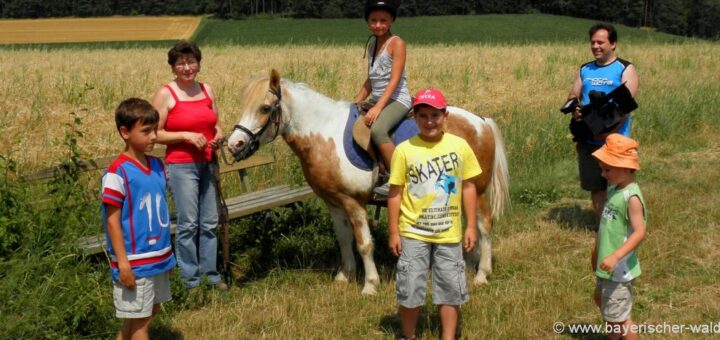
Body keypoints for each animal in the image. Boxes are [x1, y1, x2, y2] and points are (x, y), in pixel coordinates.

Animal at [228, 69, 510, 294]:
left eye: (265, 108)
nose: (234, 144)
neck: (323, 135)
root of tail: (481, 121)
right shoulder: (333, 202)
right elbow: (344, 239)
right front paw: (345, 276)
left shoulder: (353, 202)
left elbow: (364, 244)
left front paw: (370, 284)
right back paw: (469, 264)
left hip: (477, 190)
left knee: (484, 224)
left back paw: (482, 274)